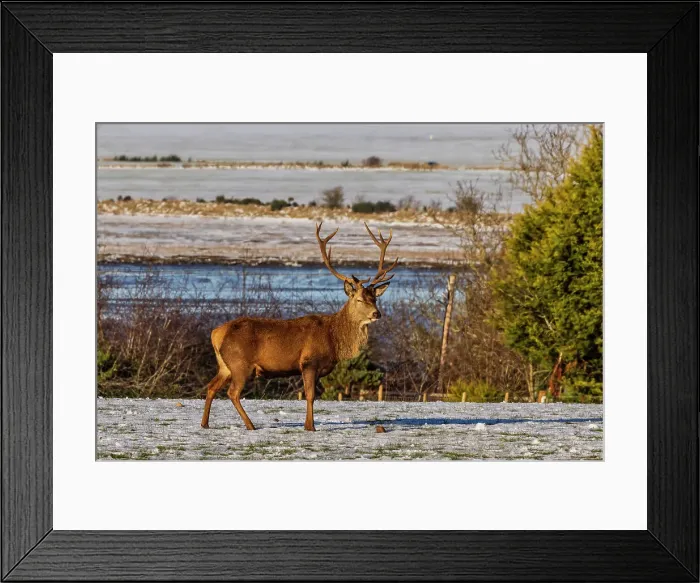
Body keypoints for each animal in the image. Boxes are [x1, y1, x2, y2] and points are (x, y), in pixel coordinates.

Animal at [200, 222, 398, 432]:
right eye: (359, 299)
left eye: (375, 299)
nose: (377, 314)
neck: (333, 338)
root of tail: (216, 333)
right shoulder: (309, 362)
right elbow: (310, 396)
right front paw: (310, 427)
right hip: (240, 363)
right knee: (233, 392)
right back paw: (250, 425)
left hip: (225, 365)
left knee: (211, 386)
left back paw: (205, 423)